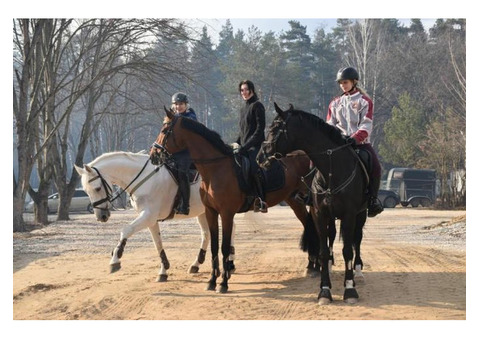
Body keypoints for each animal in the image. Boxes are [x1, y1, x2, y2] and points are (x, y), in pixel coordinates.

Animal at [72, 151, 234, 282]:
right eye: (86, 191)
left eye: (97, 188)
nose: (101, 216)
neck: (142, 179)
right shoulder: (150, 220)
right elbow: (158, 244)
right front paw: (163, 270)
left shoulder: (148, 216)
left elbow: (126, 230)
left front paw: (115, 259)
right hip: (202, 212)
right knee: (206, 233)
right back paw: (197, 264)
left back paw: (229, 263)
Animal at [152, 110, 318, 294]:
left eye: (164, 130)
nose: (153, 155)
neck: (216, 169)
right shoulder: (210, 212)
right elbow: (214, 246)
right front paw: (211, 281)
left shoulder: (226, 213)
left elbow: (224, 247)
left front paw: (223, 283)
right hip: (294, 201)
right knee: (309, 225)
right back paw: (312, 266)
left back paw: (316, 266)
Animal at [258, 103, 368, 306]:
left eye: (275, 128)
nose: (260, 157)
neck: (332, 170)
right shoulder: (320, 213)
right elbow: (323, 250)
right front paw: (325, 289)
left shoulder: (349, 215)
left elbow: (348, 251)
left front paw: (350, 290)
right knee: (332, 236)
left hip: (361, 214)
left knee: (357, 240)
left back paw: (357, 272)